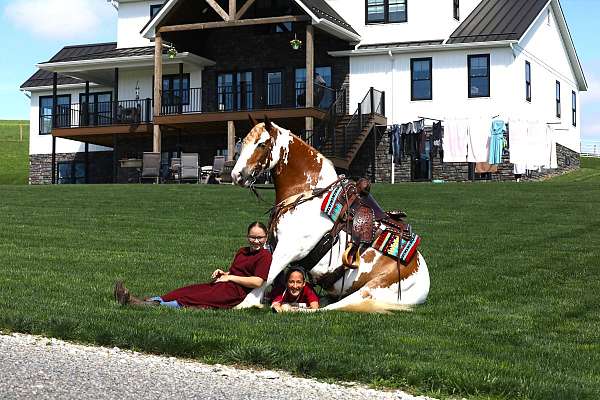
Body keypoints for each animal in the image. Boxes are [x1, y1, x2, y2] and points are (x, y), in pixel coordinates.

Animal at [232, 116, 428, 312]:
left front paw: (245, 302)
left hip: (367, 292)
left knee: (326, 308)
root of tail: (423, 284)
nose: (236, 175)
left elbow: (264, 279)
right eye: (243, 143)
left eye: (261, 144)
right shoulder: (272, 244)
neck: (308, 193)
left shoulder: (288, 249)